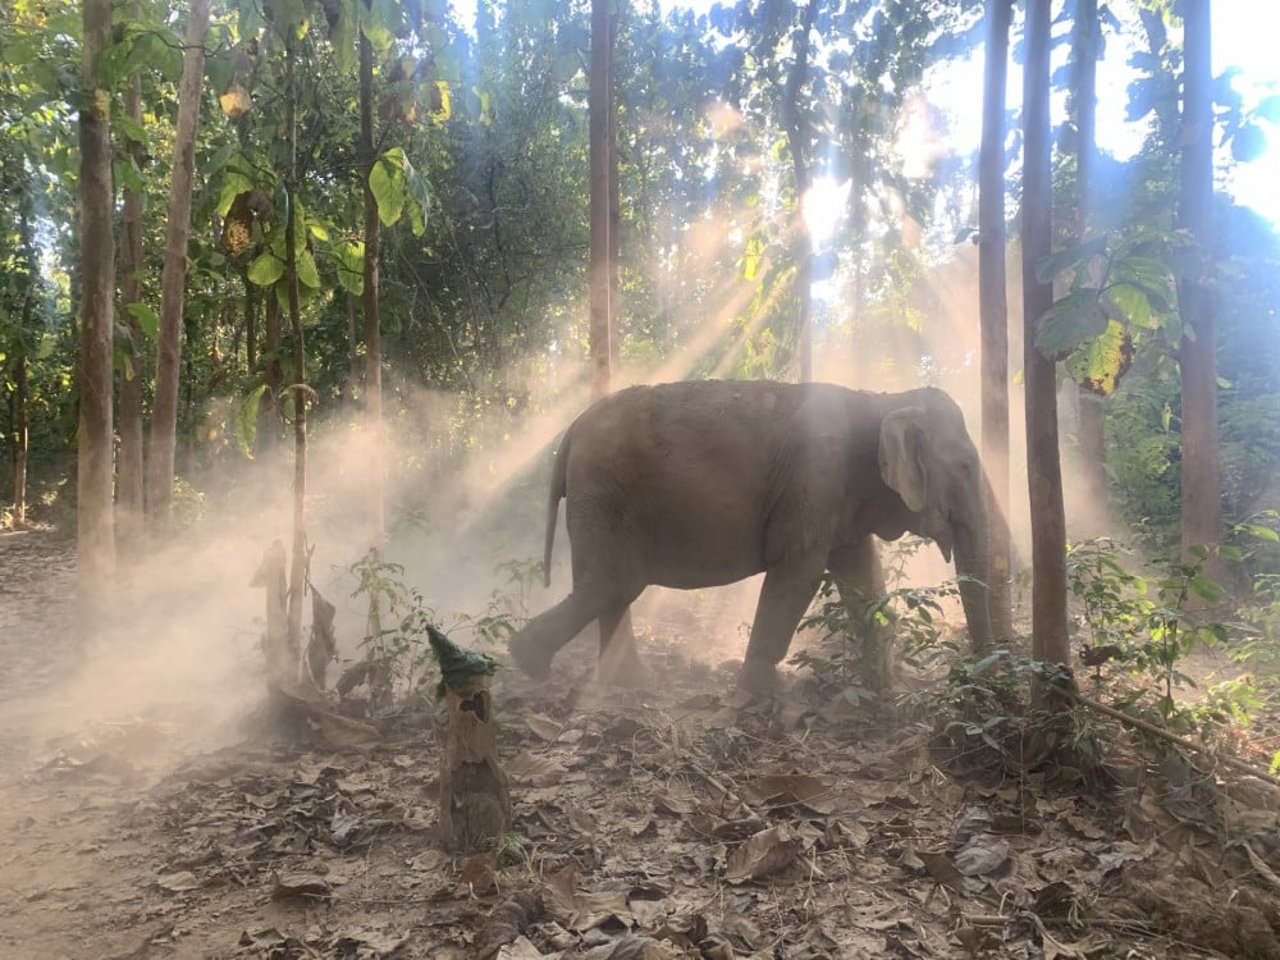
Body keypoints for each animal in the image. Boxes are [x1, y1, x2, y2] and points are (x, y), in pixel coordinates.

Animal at [506, 378, 988, 696]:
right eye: (966, 467)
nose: (969, 673)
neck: (881, 399)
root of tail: (570, 432)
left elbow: (862, 577)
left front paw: (886, 692)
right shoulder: (814, 480)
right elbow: (798, 571)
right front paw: (757, 696)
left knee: (610, 588)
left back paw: (627, 684)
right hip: (604, 492)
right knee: (614, 583)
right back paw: (529, 663)